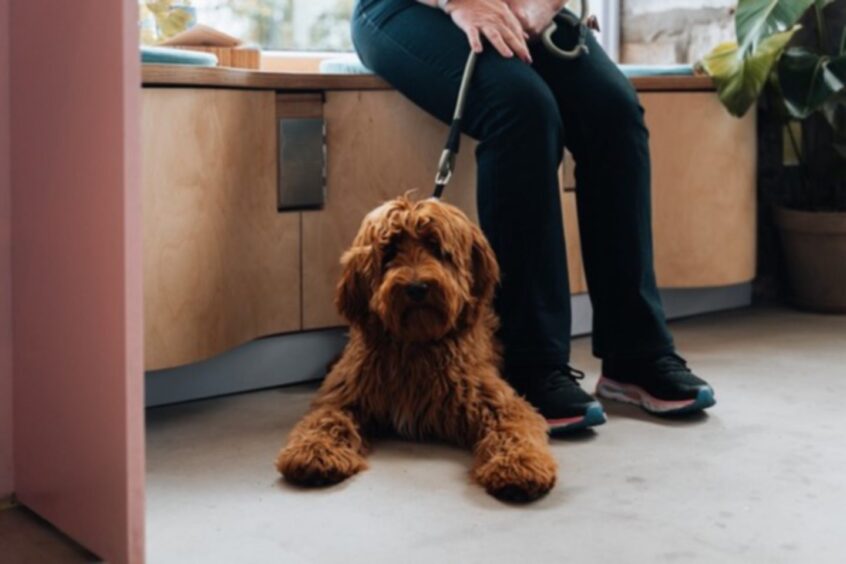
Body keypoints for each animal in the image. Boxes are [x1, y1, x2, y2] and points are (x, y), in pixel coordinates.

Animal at [274, 196, 560, 500]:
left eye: (436, 247)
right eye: (390, 250)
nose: (417, 288)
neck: (415, 345)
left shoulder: (494, 399)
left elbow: (514, 426)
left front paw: (519, 464)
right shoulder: (344, 394)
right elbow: (325, 419)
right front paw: (313, 451)